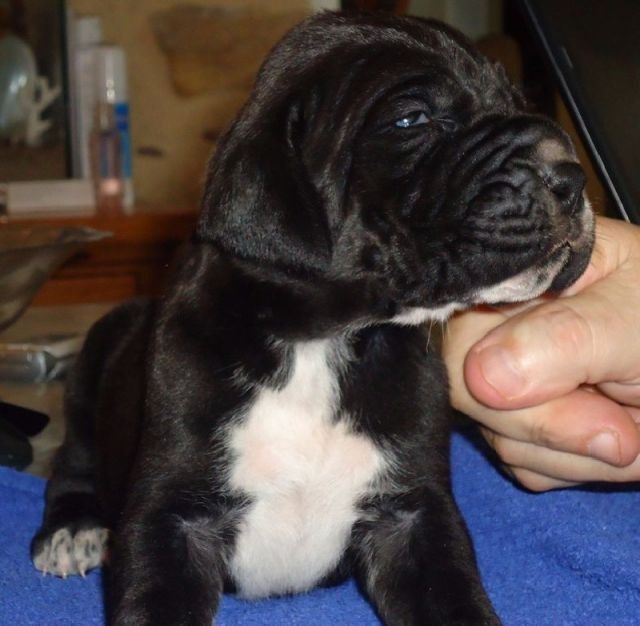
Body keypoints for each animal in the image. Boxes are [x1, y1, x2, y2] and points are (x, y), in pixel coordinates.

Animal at [32, 12, 594, 625]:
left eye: (518, 100)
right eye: (412, 119)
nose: (571, 176)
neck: (320, 342)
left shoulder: (412, 516)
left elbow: (453, 600)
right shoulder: (170, 518)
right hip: (94, 360)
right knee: (71, 457)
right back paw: (73, 530)